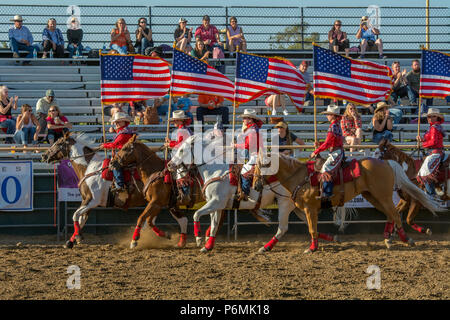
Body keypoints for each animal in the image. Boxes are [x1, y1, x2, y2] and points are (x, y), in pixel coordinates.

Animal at [42, 131, 188, 249]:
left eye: (58, 143)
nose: (44, 155)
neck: (90, 168)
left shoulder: (91, 201)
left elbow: (75, 215)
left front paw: (77, 238)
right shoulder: (87, 203)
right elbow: (81, 219)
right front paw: (71, 241)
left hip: (158, 202)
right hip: (166, 203)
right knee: (177, 220)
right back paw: (171, 238)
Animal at [169, 134, 342, 254]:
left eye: (182, 150)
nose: (170, 165)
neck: (216, 171)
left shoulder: (216, 202)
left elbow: (196, 215)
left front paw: (199, 239)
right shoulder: (217, 205)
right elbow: (213, 226)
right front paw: (208, 246)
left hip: (285, 204)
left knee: (284, 228)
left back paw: (266, 248)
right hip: (298, 206)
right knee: (309, 223)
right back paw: (330, 238)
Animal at [253, 151, 442, 254]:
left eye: (262, 166)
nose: (255, 185)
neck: (300, 177)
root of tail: (386, 162)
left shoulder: (309, 208)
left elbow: (312, 229)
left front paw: (312, 248)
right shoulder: (303, 209)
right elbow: (311, 228)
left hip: (383, 196)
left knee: (395, 214)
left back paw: (406, 239)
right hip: (373, 196)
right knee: (391, 214)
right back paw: (388, 240)